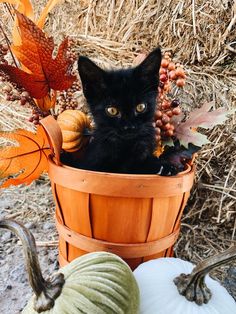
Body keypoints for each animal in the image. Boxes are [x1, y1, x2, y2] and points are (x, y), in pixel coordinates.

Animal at [73, 47, 178, 175]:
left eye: (140, 107)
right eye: (112, 110)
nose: (129, 127)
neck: (126, 147)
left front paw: (164, 166)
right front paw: (160, 167)